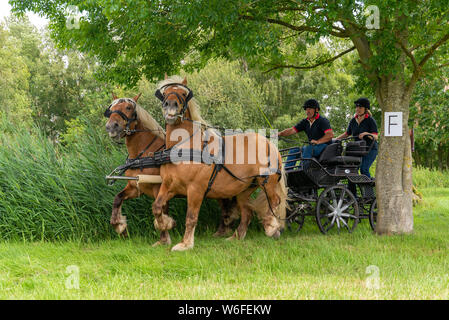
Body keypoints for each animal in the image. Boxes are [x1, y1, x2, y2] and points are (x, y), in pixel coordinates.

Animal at [151, 76, 288, 251]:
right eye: (165, 93)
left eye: (183, 93)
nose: (170, 104)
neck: (184, 147)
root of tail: (270, 143)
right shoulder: (169, 185)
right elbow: (157, 207)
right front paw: (165, 224)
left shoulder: (195, 189)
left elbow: (191, 217)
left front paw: (185, 244)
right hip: (244, 189)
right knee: (247, 212)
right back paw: (236, 237)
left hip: (267, 182)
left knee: (275, 201)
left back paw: (272, 227)